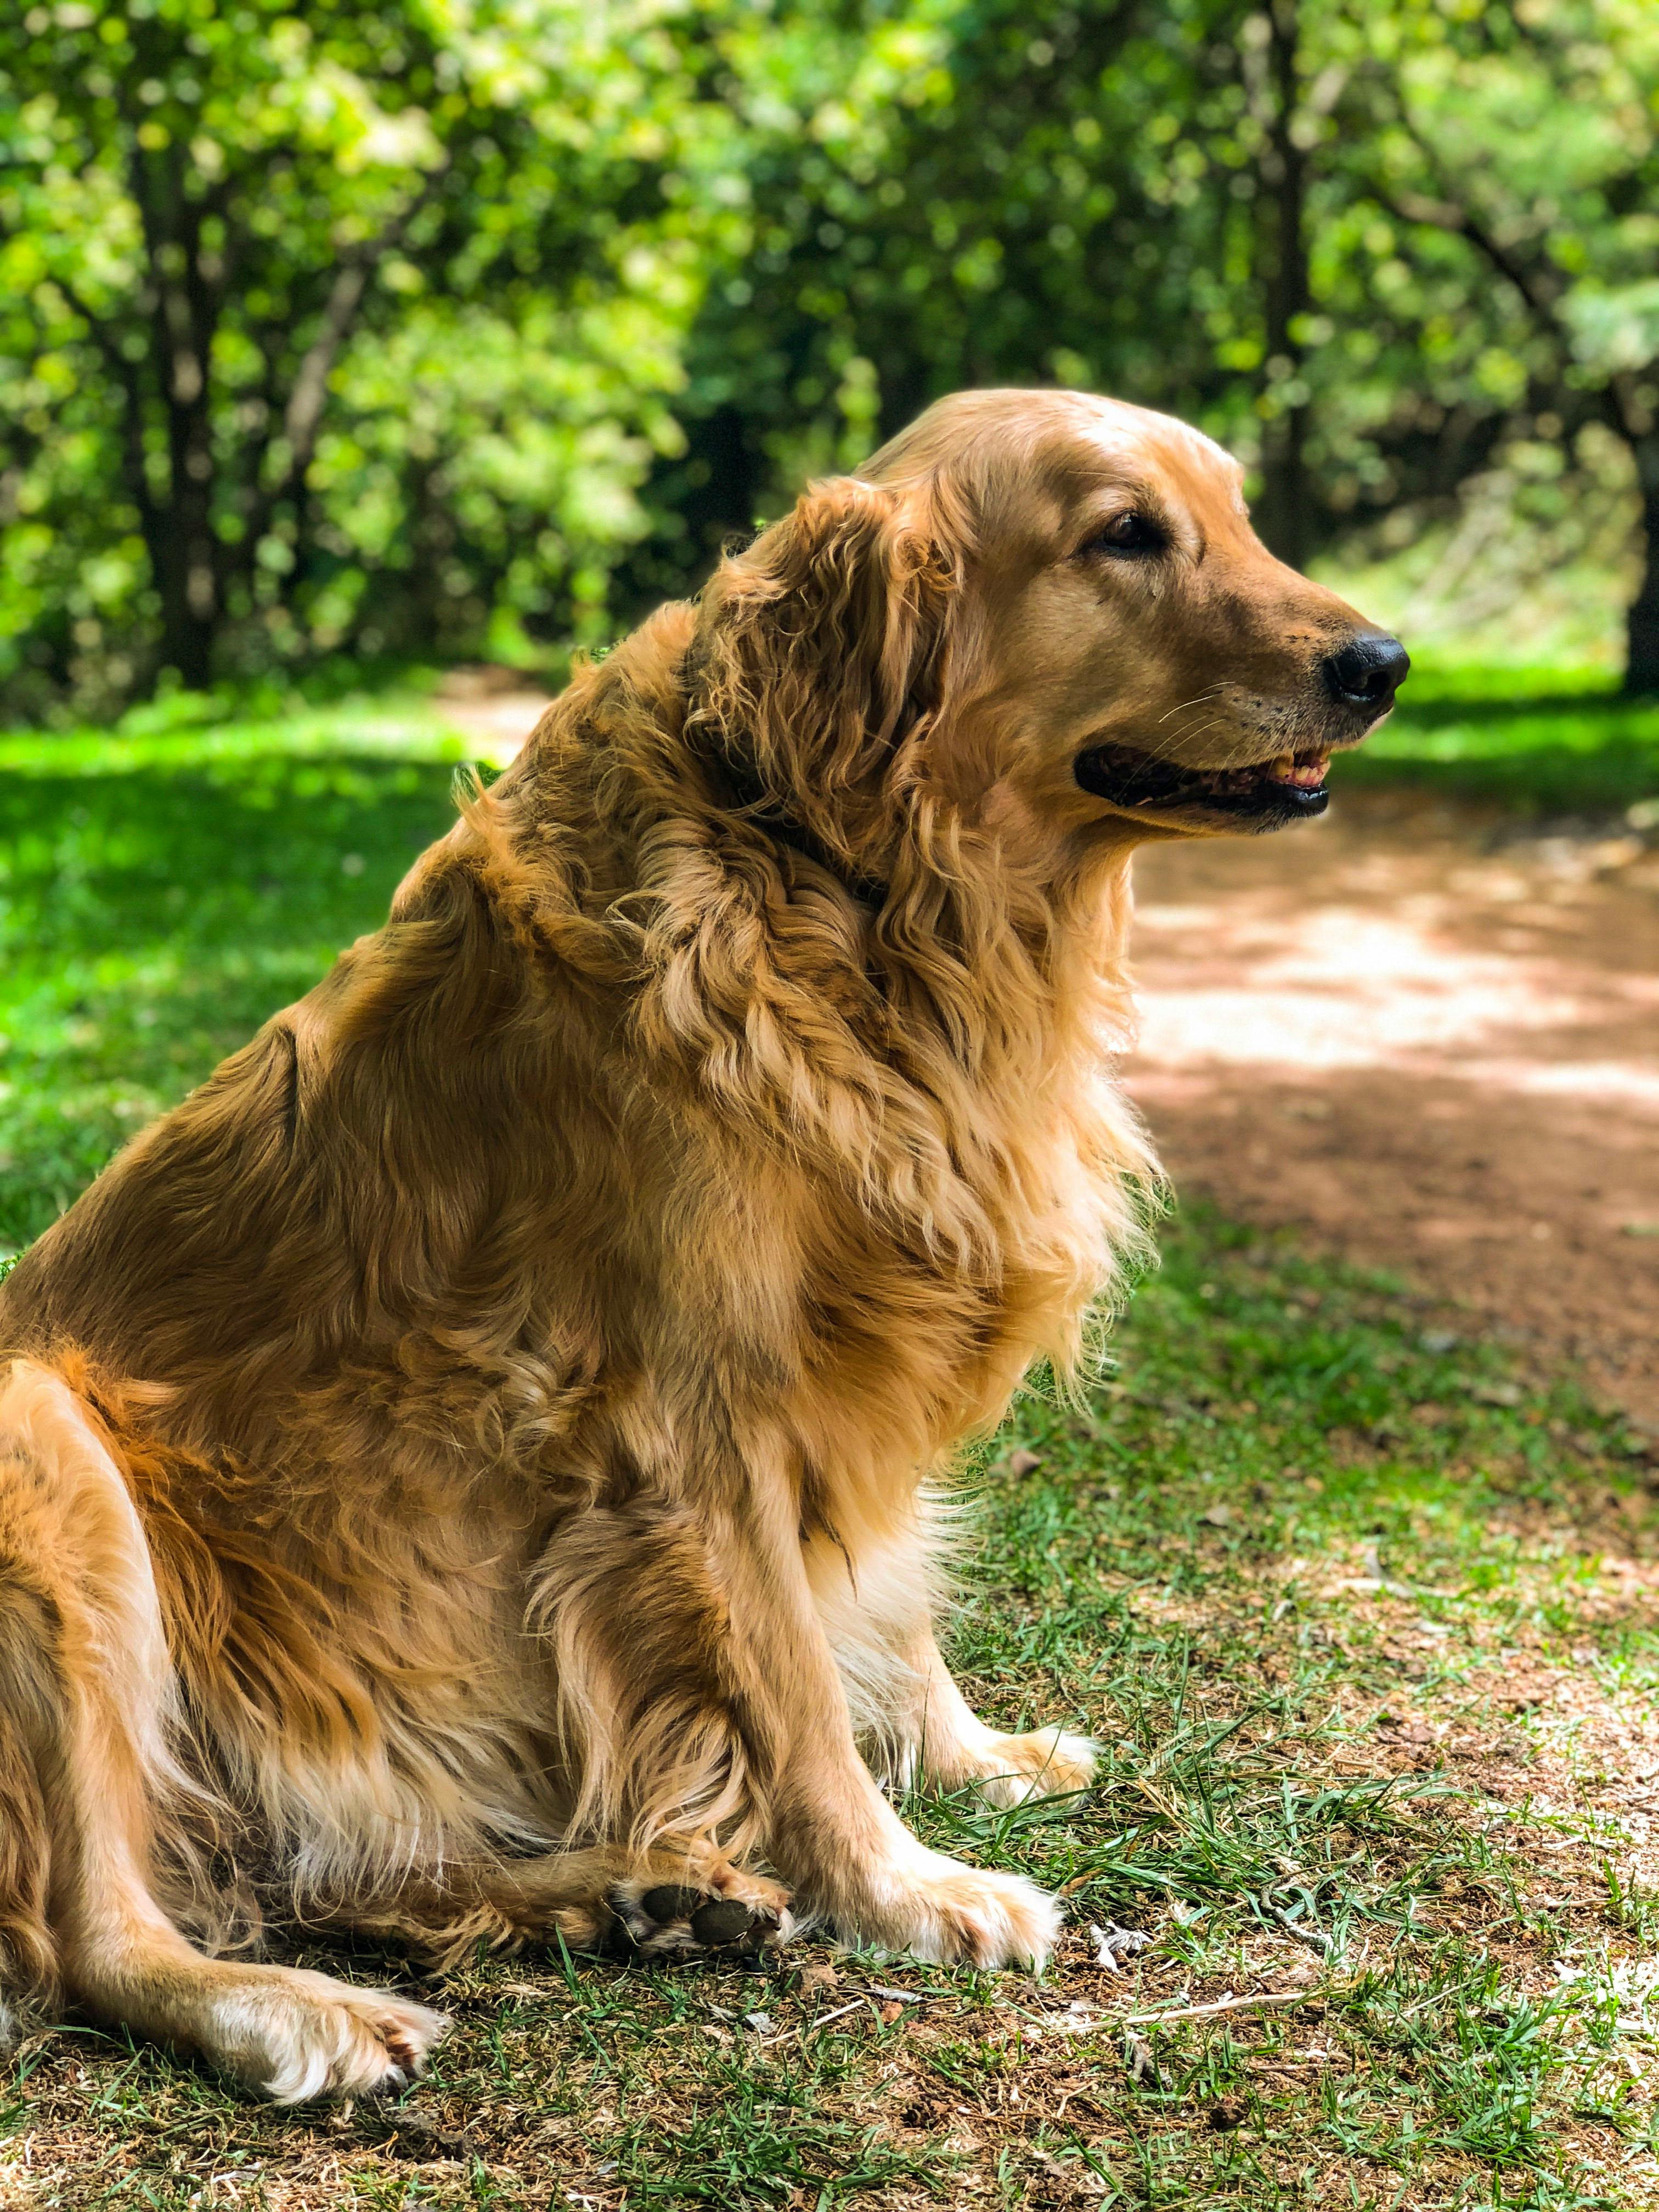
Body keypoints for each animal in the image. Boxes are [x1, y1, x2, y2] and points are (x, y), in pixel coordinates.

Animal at [0, 389, 1407, 2097]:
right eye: (1127, 535)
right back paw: (302, 2011)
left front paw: (975, 1758)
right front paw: (904, 1887)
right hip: (48, 1448)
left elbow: (891, 1605)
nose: (1384, 662)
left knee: (347, 1875)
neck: (852, 889)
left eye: (1240, 514)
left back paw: (631, 1896)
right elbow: (792, 1685)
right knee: (95, 1931)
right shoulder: (697, 1421)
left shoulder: (857, 1376)